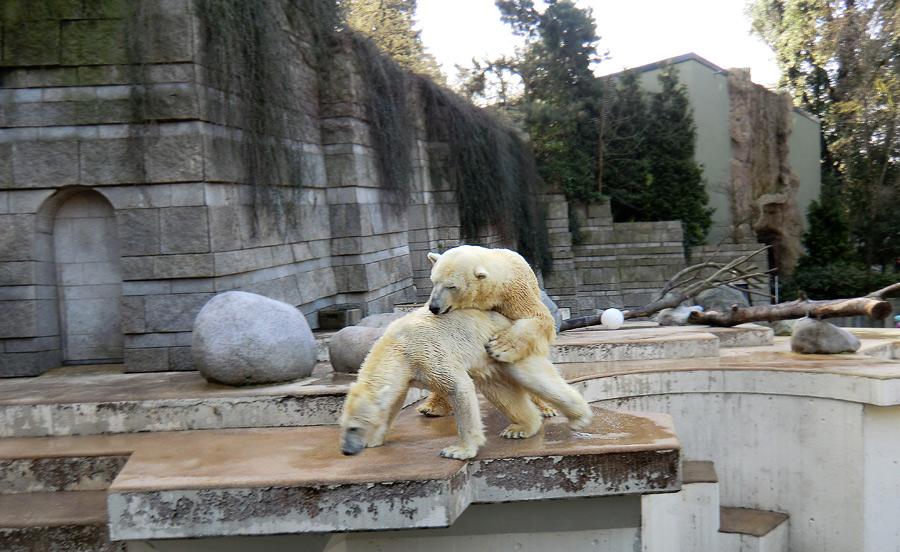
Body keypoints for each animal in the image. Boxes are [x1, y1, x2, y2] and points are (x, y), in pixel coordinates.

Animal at [338, 308, 592, 460]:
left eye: (355, 427)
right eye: (344, 426)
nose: (346, 451)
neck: (397, 346)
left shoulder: (426, 353)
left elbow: (458, 387)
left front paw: (458, 451)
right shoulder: (405, 372)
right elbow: (393, 401)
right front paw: (373, 439)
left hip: (504, 346)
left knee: (533, 376)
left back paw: (579, 417)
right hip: (487, 360)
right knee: (499, 390)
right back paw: (521, 428)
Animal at [418, 247, 560, 418]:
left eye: (451, 286)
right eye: (434, 282)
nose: (434, 307)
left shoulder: (514, 295)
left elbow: (538, 317)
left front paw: (499, 348)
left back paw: (544, 408)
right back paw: (431, 407)